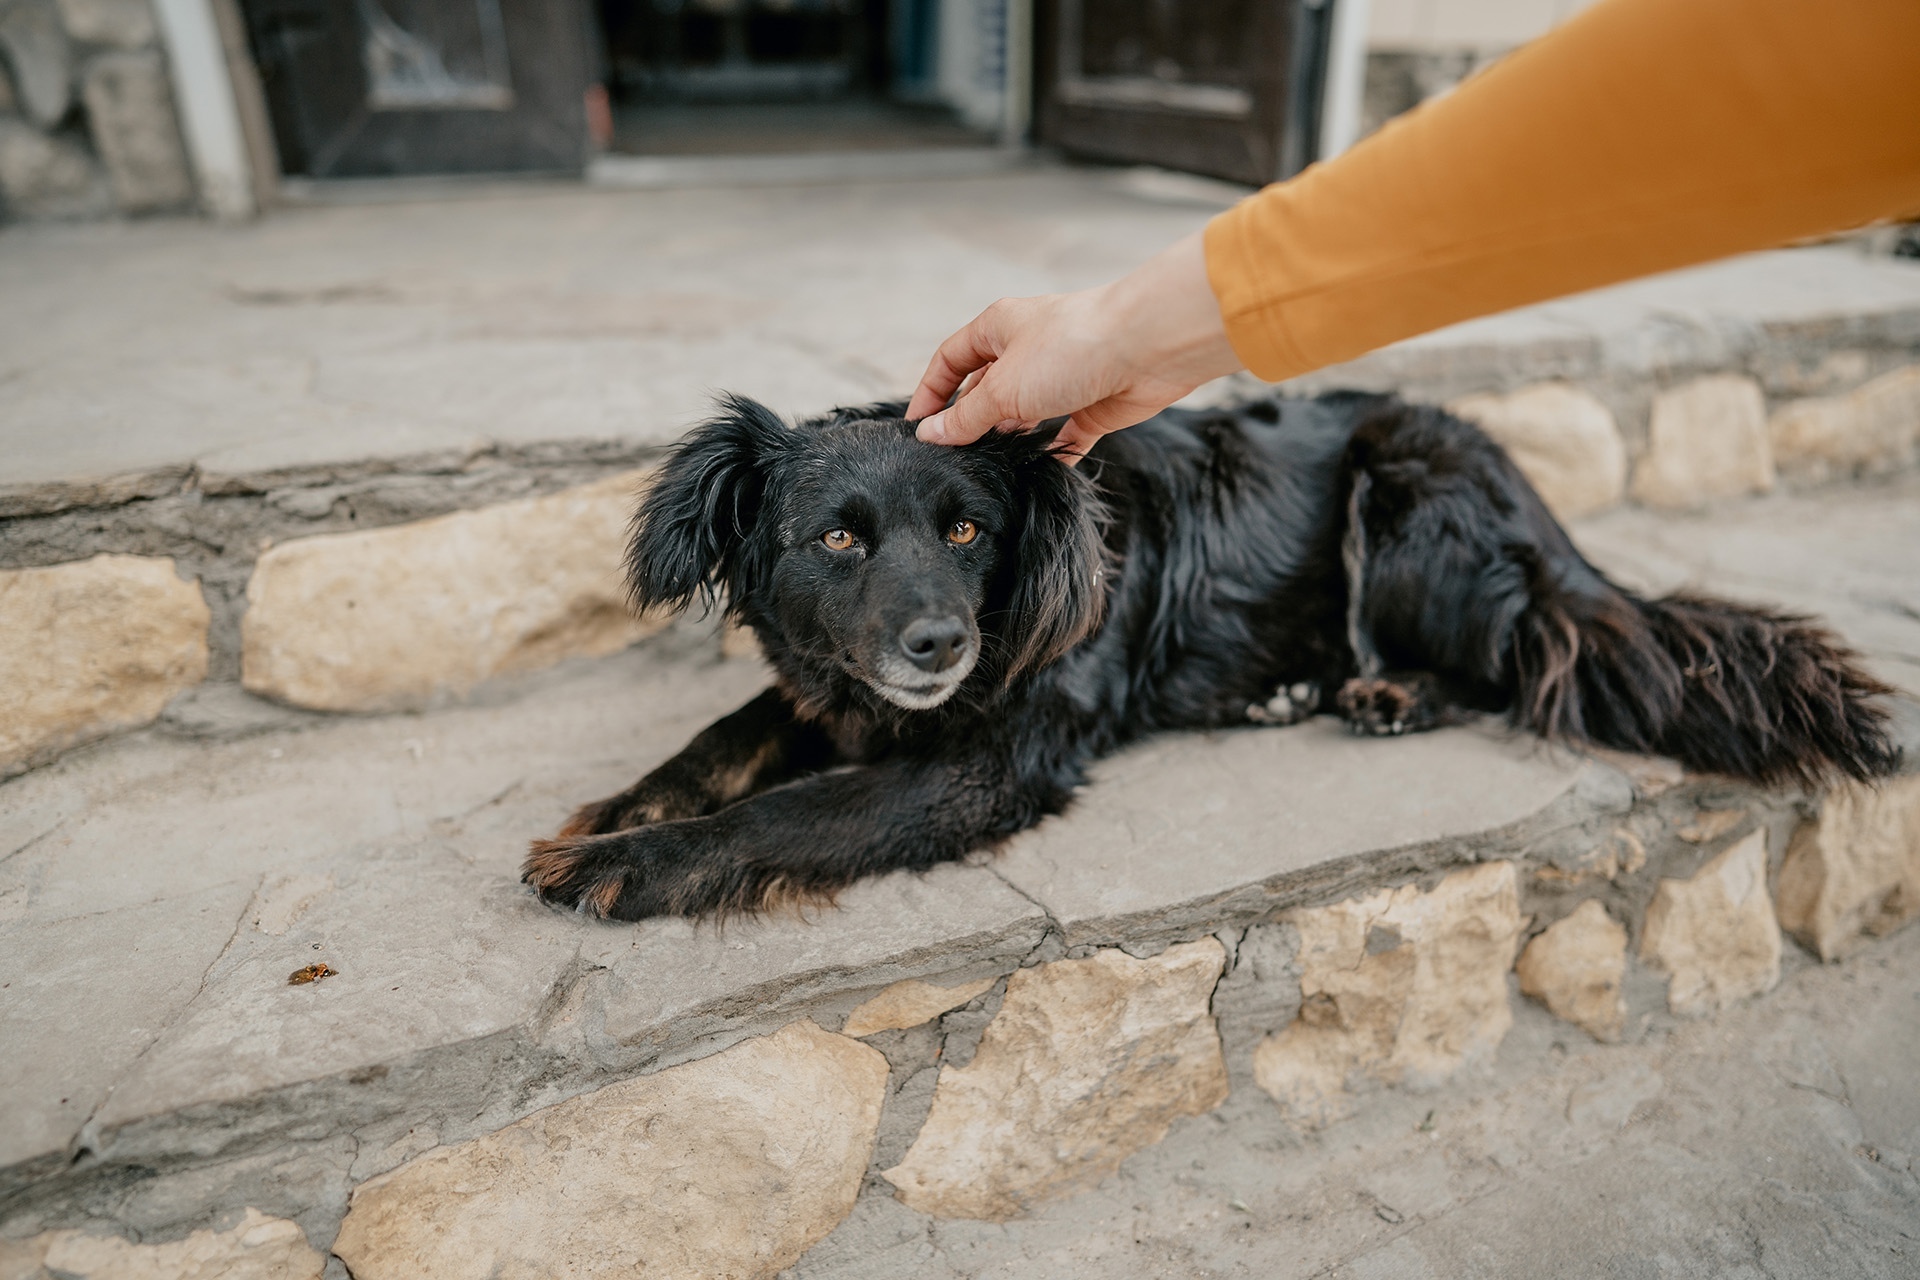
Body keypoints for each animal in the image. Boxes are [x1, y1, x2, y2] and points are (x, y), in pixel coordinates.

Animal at [518, 391, 1896, 921]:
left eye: (967, 529)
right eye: (838, 538)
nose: (939, 641)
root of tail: (1539, 505)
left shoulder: (989, 760)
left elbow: (787, 813)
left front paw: (626, 865)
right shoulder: (836, 682)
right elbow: (726, 738)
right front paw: (616, 812)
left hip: (1407, 500)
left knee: (1507, 661)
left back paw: (1383, 694)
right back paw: (1292, 690)